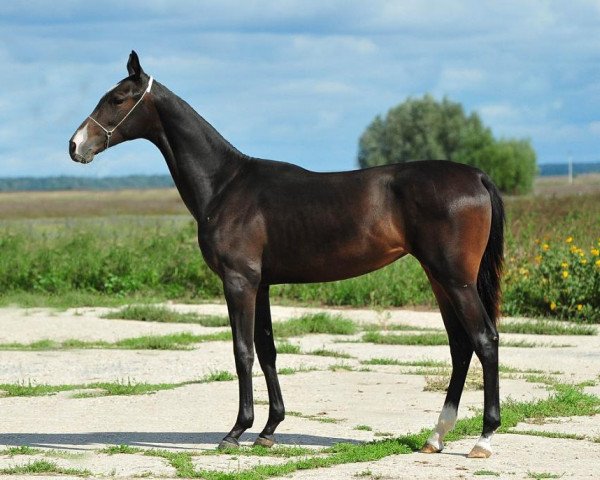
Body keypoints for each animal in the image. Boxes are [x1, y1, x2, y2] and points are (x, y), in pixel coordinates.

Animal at [68, 50, 504, 460]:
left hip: (455, 279)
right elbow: (267, 352)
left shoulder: (239, 282)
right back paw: (436, 437)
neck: (226, 184)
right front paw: (268, 430)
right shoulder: (260, 285)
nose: (75, 146)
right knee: (460, 345)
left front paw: (235, 432)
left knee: (484, 339)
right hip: (439, 278)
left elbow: (242, 351)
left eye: (117, 99)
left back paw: (483, 439)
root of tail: (477, 176)